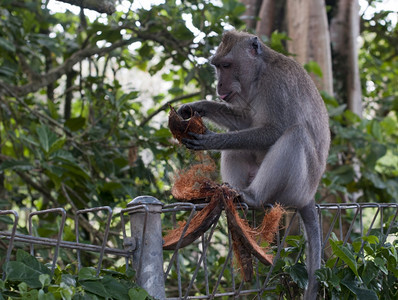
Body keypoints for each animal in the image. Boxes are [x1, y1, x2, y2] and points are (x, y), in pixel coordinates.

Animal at [179, 31, 332, 298]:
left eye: (226, 66)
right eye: (217, 66)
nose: (219, 86)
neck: (259, 73)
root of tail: (309, 196)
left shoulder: (277, 86)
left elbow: (275, 130)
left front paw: (212, 139)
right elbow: (244, 122)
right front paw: (196, 107)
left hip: (296, 188)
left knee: (295, 134)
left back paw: (252, 196)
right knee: (240, 144)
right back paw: (226, 194)